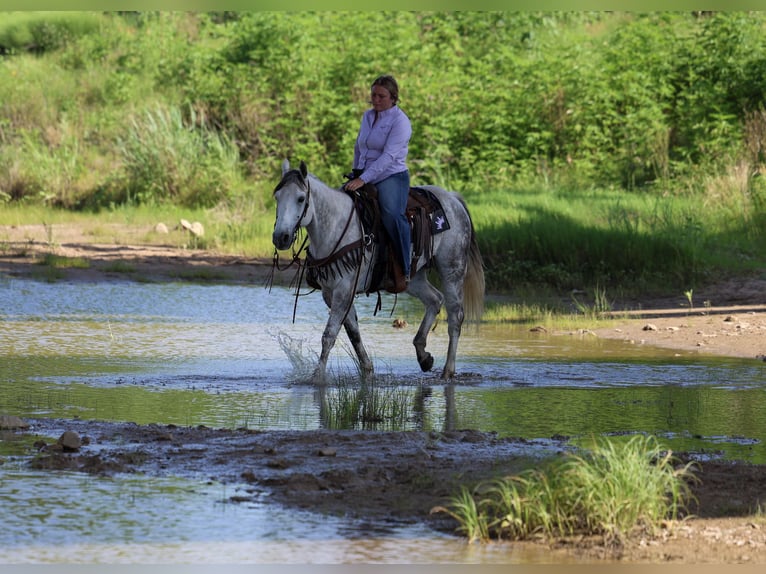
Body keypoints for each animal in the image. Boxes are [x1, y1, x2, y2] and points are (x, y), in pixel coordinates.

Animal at [272, 160, 485, 383]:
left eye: (300, 198)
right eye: (277, 196)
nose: (280, 237)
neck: (335, 227)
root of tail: (453, 199)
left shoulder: (343, 290)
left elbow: (329, 335)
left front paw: (317, 377)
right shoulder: (330, 293)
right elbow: (353, 333)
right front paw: (367, 370)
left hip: (452, 269)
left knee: (455, 316)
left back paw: (448, 370)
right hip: (412, 277)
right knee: (435, 299)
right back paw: (423, 355)